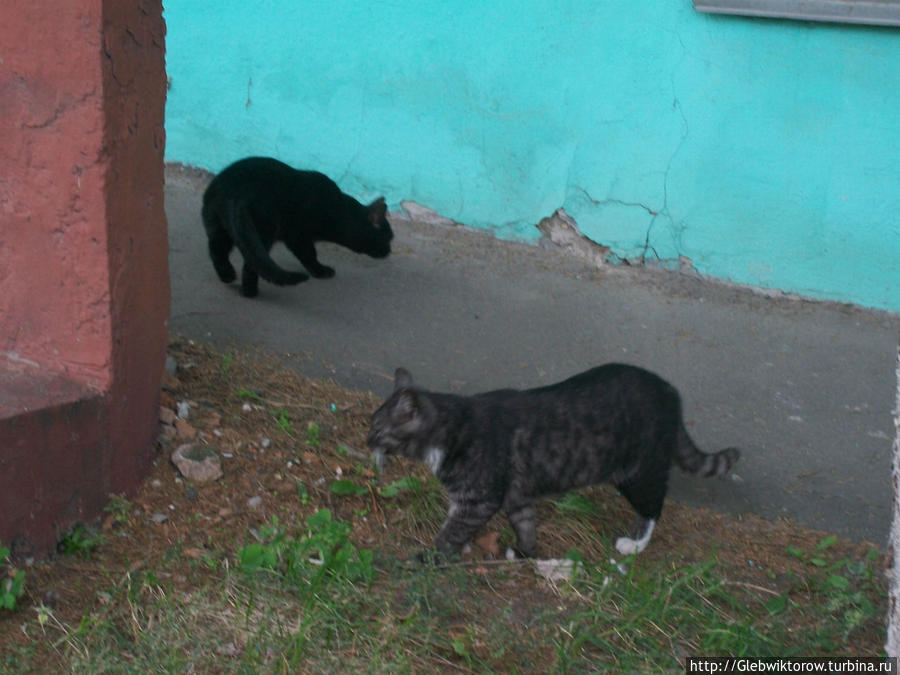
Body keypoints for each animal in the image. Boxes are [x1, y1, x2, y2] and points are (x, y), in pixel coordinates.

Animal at [202, 158, 392, 298]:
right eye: (388, 238)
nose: (389, 251)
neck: (339, 210)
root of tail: (237, 191)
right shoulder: (298, 236)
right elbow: (309, 255)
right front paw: (321, 271)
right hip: (263, 232)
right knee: (252, 263)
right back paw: (250, 292)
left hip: (219, 227)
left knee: (216, 250)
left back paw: (226, 275)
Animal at [366, 364, 740, 560]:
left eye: (378, 428)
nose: (366, 439)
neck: (451, 429)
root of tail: (671, 393)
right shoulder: (516, 496)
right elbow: (525, 524)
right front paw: (525, 552)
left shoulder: (477, 500)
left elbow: (451, 531)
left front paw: (431, 557)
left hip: (637, 474)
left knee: (653, 506)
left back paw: (634, 543)